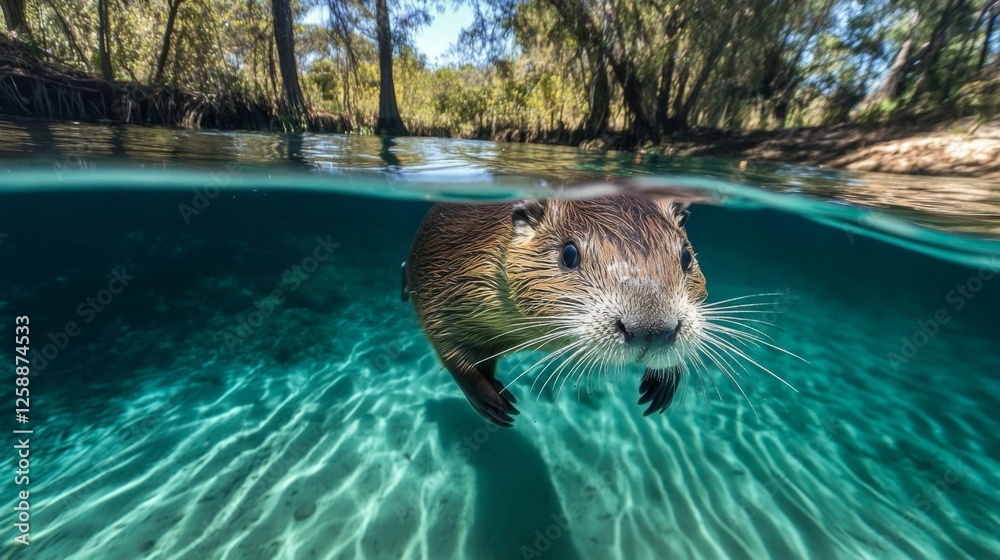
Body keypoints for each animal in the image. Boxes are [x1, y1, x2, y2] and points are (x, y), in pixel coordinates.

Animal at [402, 195, 708, 427]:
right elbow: (449, 347)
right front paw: (495, 404)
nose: (653, 330)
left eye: (686, 256)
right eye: (569, 254)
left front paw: (661, 385)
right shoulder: (443, 285)